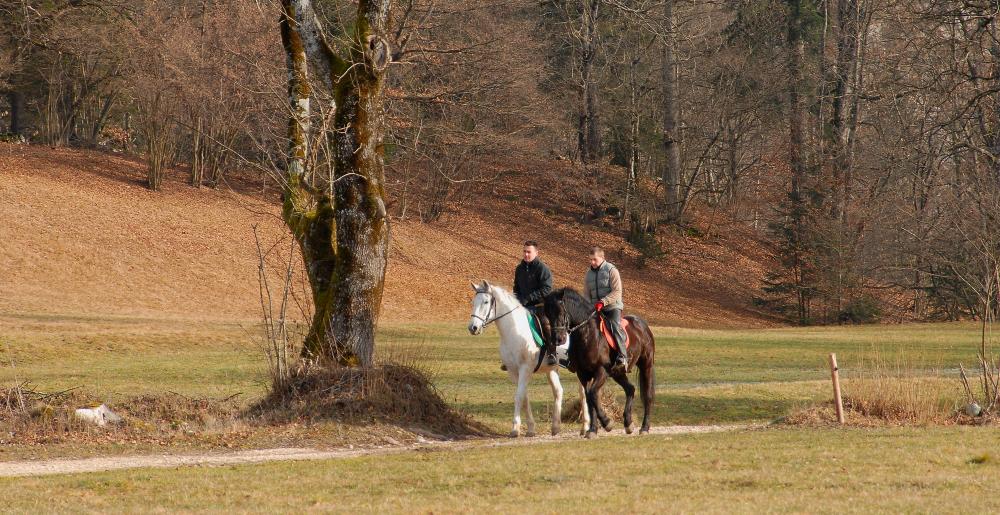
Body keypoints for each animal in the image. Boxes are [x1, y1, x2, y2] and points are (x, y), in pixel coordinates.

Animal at [466, 280, 588, 438]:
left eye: (486, 302)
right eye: (473, 302)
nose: (473, 328)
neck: (514, 331)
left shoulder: (525, 369)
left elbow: (518, 396)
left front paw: (515, 428)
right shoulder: (513, 372)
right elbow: (524, 397)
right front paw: (530, 429)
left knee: (583, 392)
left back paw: (585, 427)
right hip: (552, 369)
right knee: (558, 391)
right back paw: (556, 427)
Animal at [544, 288, 652, 438]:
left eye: (560, 311)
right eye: (547, 314)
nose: (558, 339)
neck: (587, 334)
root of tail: (642, 324)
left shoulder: (601, 371)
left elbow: (593, 394)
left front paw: (607, 423)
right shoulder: (583, 375)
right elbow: (589, 399)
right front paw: (592, 430)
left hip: (646, 365)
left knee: (647, 395)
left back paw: (645, 427)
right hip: (617, 373)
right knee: (630, 389)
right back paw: (628, 424)